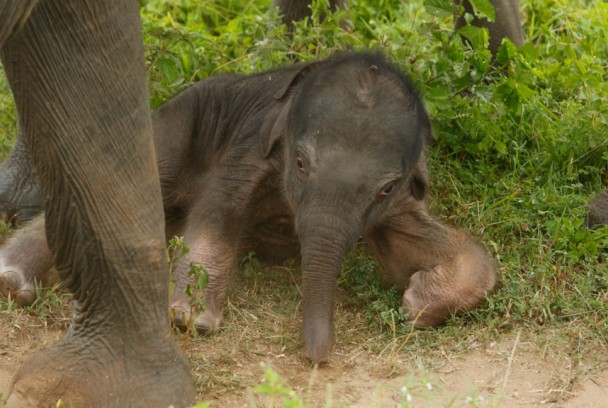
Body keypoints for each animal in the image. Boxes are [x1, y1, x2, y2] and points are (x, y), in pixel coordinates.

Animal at [0, 51, 494, 364]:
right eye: (300, 163)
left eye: (385, 189)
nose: (319, 358)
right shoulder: (249, 148)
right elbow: (218, 214)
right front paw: (190, 319)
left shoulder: (401, 203)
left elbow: (416, 250)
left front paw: (415, 304)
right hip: (176, 125)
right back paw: (11, 281)